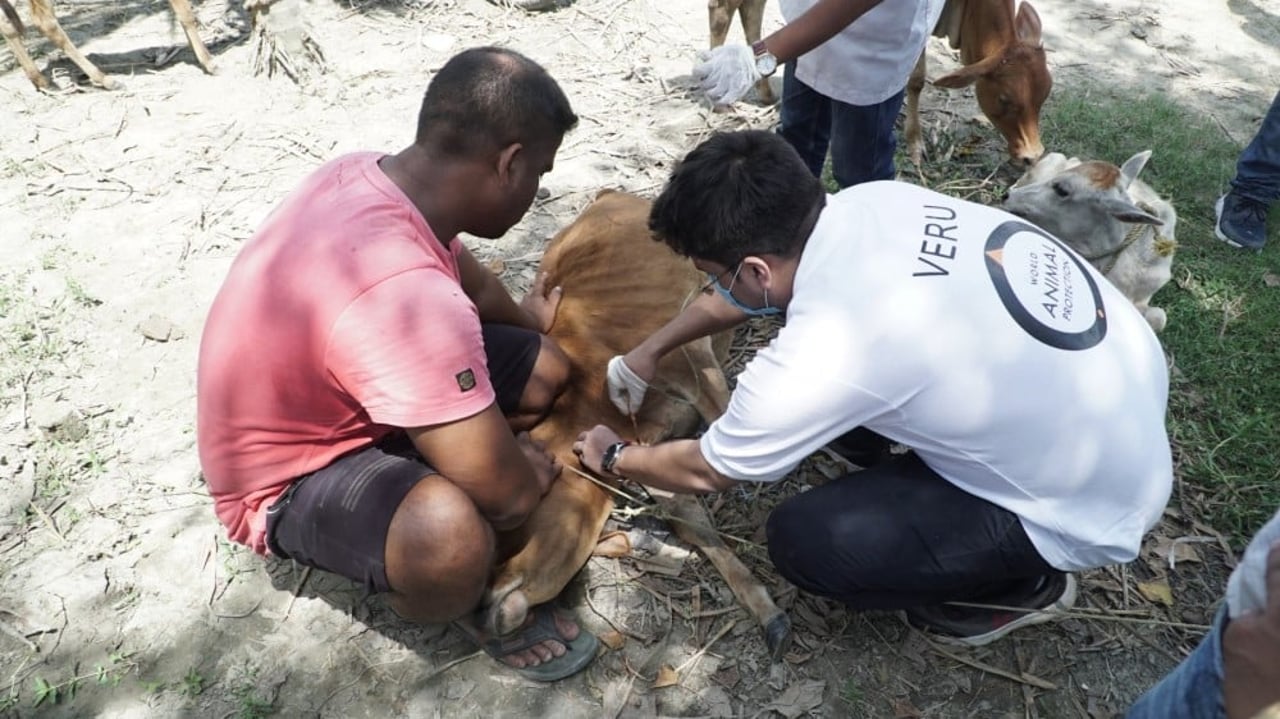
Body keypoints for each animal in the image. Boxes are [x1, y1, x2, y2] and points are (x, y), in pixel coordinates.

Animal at [0, 0, 215, 90]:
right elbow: (185, 13)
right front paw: (209, 63)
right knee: (44, 21)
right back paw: (105, 80)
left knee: (7, 23)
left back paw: (42, 81)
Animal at [481, 189, 788, 655]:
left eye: (511, 528)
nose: (483, 607)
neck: (583, 400)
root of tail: (610, 194)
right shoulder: (647, 449)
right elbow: (689, 518)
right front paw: (765, 608)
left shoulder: (690, 360)